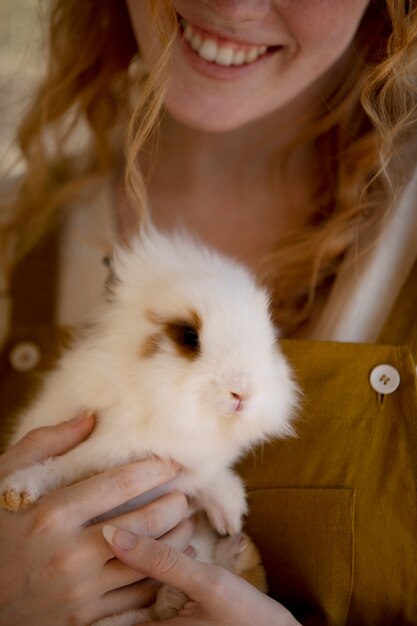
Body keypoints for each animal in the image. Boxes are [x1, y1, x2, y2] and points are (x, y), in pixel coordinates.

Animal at [0, 227, 300, 620]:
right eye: (189, 336)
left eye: (269, 338)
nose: (243, 392)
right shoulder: (95, 448)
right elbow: (55, 469)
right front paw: (16, 493)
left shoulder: (191, 466)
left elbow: (210, 480)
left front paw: (230, 516)